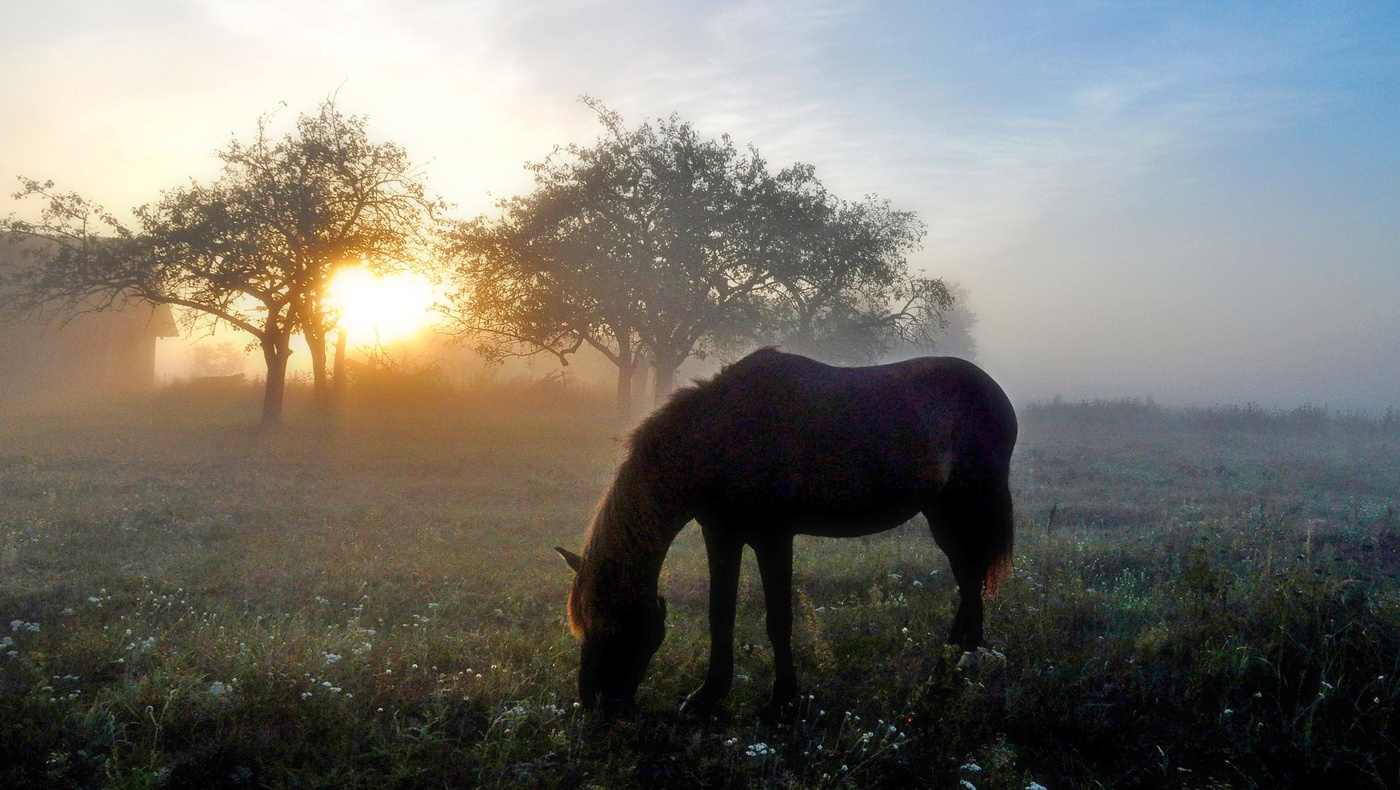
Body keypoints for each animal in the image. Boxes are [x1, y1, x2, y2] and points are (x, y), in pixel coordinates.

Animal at [554, 345, 1019, 717]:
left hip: (966, 505)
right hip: (940, 510)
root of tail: (996, 393)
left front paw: (781, 700)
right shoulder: (722, 533)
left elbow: (778, 617)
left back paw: (953, 670)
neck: (722, 434)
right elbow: (719, 613)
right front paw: (708, 696)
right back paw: (952, 663)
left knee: (971, 576)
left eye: (613, 625)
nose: (596, 705)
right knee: (968, 575)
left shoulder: (771, 536)